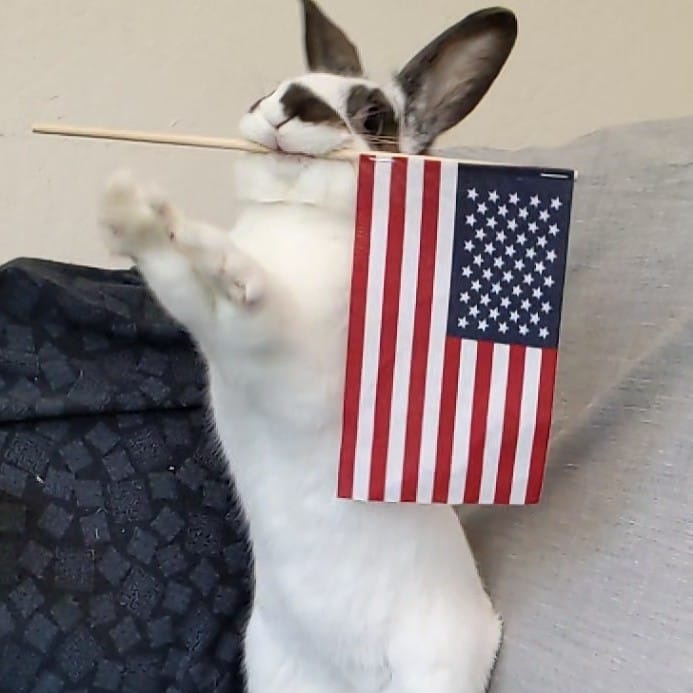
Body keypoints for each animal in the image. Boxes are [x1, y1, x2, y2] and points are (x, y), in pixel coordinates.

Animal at [98, 2, 517, 691]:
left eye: (373, 117)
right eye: (272, 86)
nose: (290, 103)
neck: (295, 217)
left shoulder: (290, 362)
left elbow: (248, 300)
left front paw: (202, 244)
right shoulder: (216, 340)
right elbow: (178, 282)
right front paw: (130, 213)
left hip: (435, 668)